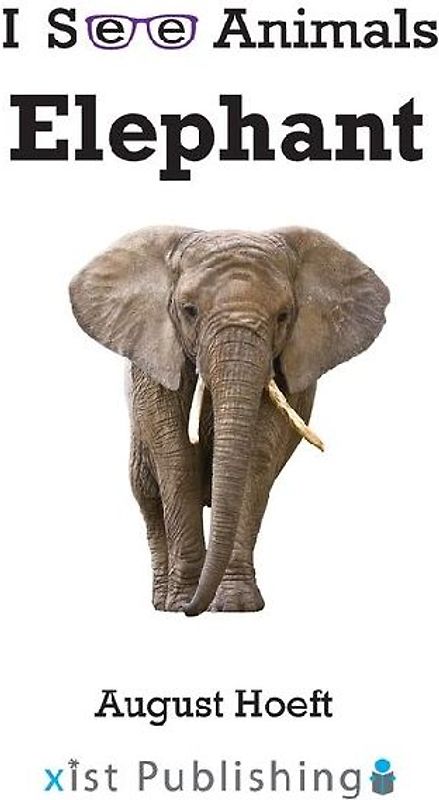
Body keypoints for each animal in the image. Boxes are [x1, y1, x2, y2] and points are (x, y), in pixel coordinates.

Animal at [69, 225, 390, 616]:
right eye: (189, 310)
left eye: (284, 315)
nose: (193, 609)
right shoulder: (155, 358)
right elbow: (175, 456)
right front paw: (182, 601)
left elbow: (256, 455)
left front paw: (235, 605)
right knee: (146, 492)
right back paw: (162, 602)